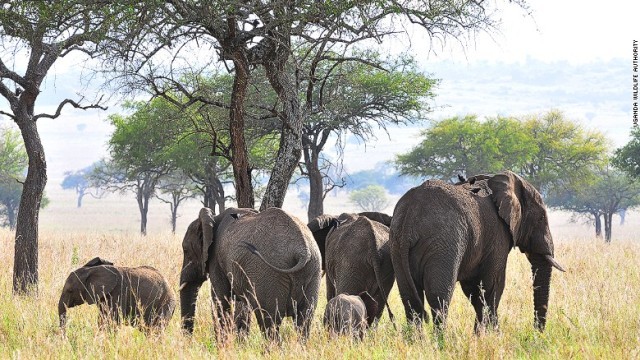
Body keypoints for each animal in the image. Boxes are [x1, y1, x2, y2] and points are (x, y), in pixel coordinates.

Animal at [179, 207, 320, 338]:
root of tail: (303, 251)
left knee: (269, 320)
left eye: (185, 250)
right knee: (304, 319)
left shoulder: (216, 260)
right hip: (313, 270)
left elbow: (220, 300)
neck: (213, 218)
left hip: (269, 275)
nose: (188, 340)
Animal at [390, 171, 564, 332]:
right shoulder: (498, 234)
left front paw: (480, 335)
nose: (536, 332)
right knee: (439, 297)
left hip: (397, 245)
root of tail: (409, 217)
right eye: (541, 218)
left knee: (410, 300)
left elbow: (474, 291)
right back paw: (440, 341)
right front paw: (493, 335)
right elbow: (493, 286)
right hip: (442, 245)